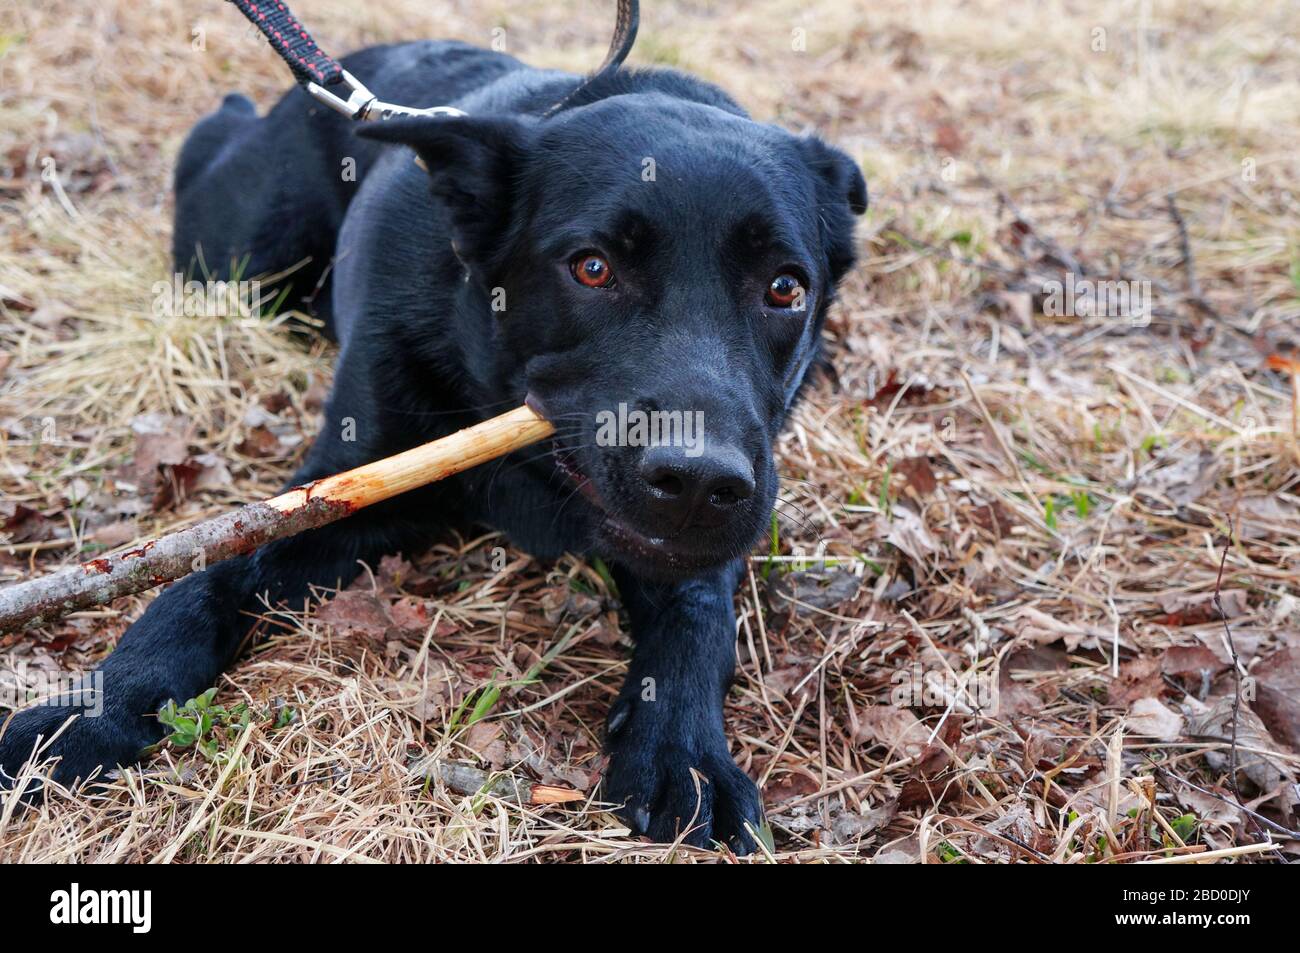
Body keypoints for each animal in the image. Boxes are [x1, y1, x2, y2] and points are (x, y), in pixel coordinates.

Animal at [0, 29, 863, 852]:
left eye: (785, 288)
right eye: (592, 268)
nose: (697, 482)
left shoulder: (709, 532)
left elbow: (697, 620)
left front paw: (684, 752)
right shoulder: (334, 488)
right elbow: (200, 581)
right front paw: (96, 712)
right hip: (237, 256)